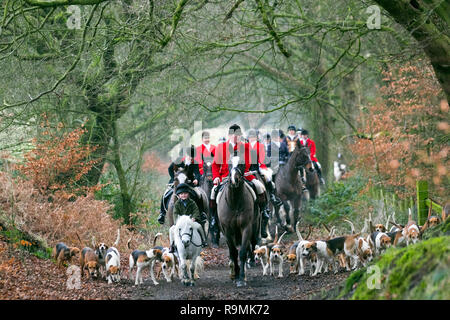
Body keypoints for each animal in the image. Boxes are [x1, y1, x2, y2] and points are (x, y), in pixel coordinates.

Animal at [216, 156, 258, 288]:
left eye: (241, 164)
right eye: (229, 164)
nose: (235, 180)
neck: (235, 202)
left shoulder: (246, 227)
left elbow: (242, 252)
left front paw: (242, 278)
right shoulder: (227, 230)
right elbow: (234, 252)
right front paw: (236, 274)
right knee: (231, 251)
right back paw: (233, 272)